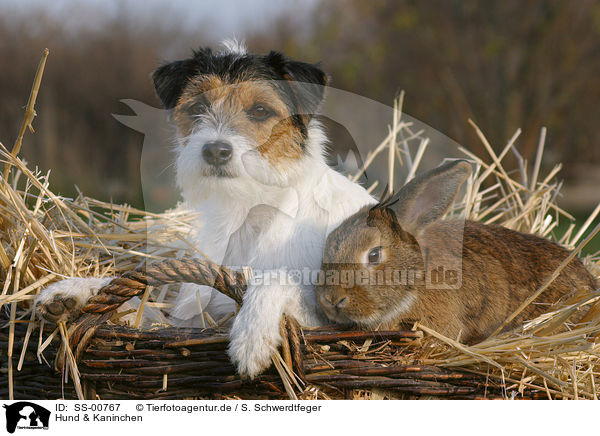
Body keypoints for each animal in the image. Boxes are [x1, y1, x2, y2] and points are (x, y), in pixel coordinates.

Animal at [34, 39, 376, 376]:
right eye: (198, 107)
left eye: (260, 110)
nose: (215, 150)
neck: (247, 209)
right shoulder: (187, 318)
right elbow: (138, 305)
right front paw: (73, 291)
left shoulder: (332, 319)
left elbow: (273, 280)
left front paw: (251, 337)